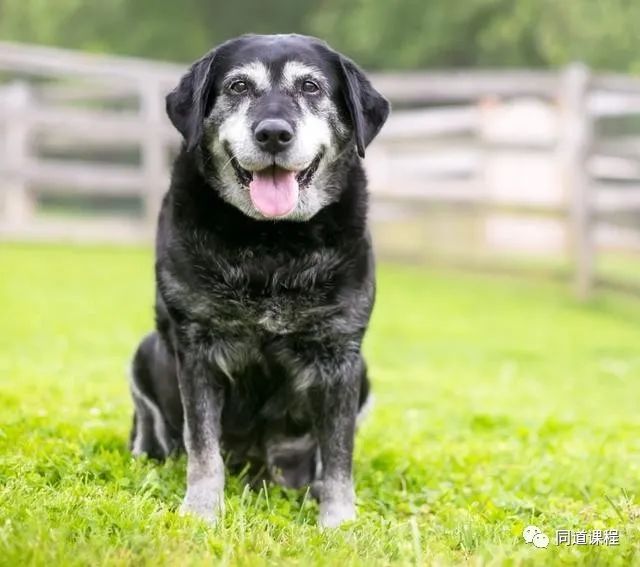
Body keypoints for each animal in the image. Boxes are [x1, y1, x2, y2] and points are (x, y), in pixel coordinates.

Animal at [129, 34, 390, 528]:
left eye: (310, 86)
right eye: (238, 86)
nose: (272, 133)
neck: (272, 242)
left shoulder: (341, 354)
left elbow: (339, 454)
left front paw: (338, 522)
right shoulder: (197, 349)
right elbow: (203, 447)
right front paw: (201, 511)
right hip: (145, 352)